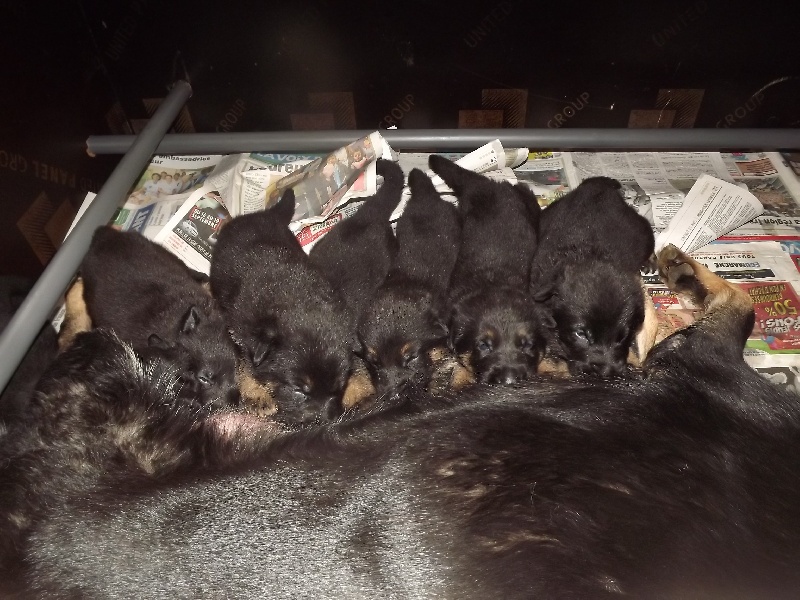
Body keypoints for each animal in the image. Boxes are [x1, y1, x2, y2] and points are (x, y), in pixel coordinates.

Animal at [209, 189, 357, 426]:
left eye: (339, 387)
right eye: (299, 390)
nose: (324, 421)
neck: (298, 300)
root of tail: (265, 214)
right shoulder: (241, 331)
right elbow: (245, 366)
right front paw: (257, 396)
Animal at [530, 176, 656, 377]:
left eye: (622, 336)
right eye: (580, 334)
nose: (606, 373)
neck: (587, 256)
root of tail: (597, 185)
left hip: (640, 231)